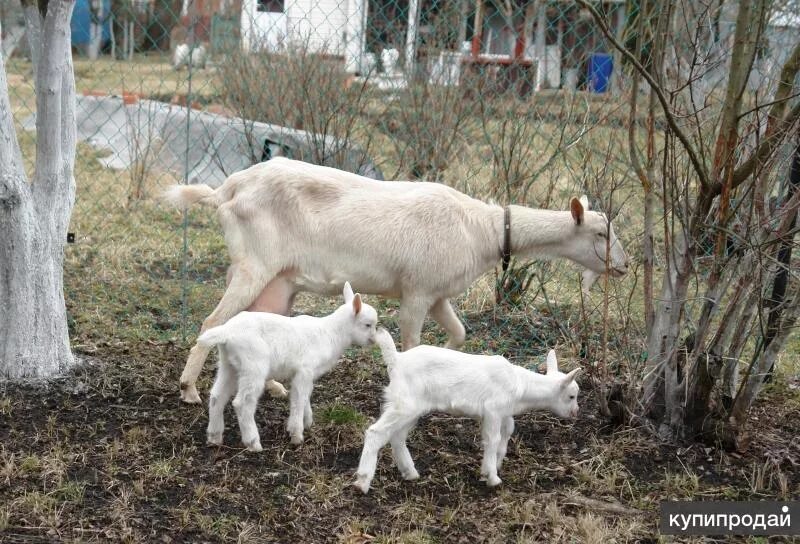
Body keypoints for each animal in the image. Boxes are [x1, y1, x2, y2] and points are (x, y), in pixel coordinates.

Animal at [161, 157, 624, 404]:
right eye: (601, 233)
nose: (623, 266)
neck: (484, 229)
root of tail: (225, 190)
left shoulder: (437, 293)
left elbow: (459, 333)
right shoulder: (417, 291)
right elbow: (413, 343)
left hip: (278, 280)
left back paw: (272, 384)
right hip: (253, 264)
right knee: (211, 322)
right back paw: (188, 388)